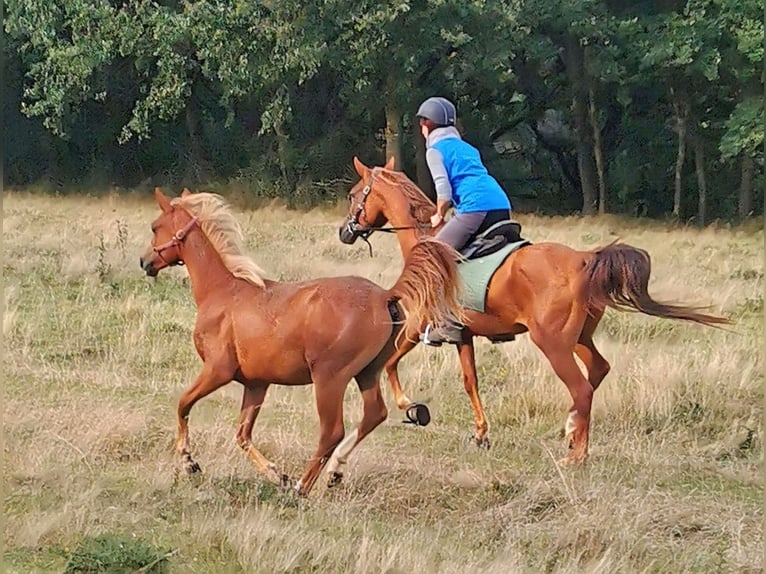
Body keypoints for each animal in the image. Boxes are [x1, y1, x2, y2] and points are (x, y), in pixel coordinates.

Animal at [140, 188, 462, 496]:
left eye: (155, 226)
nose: (145, 262)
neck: (223, 292)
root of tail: (385, 295)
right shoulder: (256, 384)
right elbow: (243, 435)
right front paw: (276, 474)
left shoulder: (218, 370)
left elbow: (182, 404)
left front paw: (189, 463)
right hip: (367, 372)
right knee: (374, 414)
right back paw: (333, 473)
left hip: (329, 379)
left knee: (332, 432)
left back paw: (302, 487)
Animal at [340, 159, 728, 468]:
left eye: (354, 194)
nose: (345, 231)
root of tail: (583, 259)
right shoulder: (462, 334)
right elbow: (470, 381)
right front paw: (480, 434)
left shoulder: (419, 322)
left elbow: (391, 362)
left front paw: (411, 407)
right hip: (578, 337)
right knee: (597, 371)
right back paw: (571, 430)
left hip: (552, 342)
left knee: (582, 388)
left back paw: (576, 454)